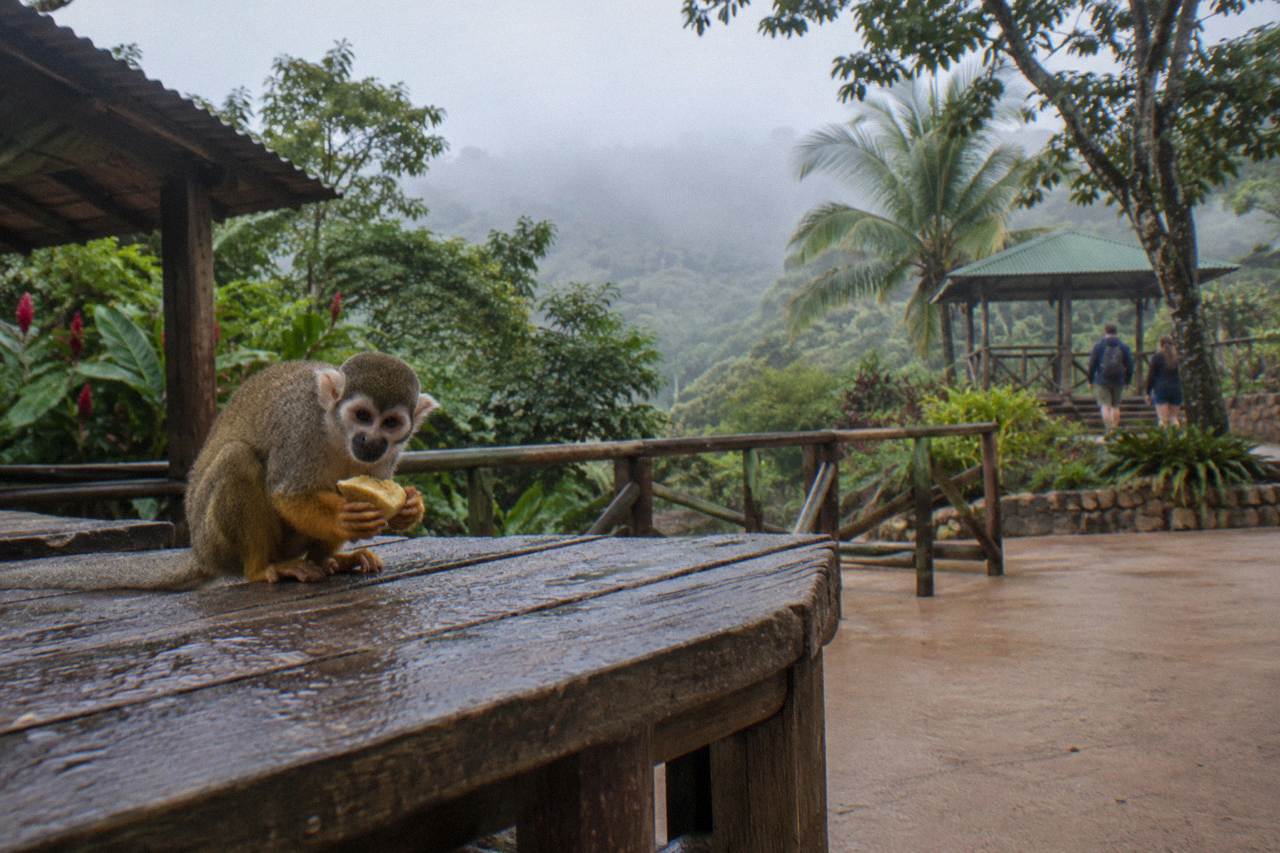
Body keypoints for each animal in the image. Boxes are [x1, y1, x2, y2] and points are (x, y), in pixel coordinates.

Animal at [0, 352, 437, 590]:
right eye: (362, 416)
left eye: (391, 424)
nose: (371, 441)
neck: (336, 433)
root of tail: (198, 551)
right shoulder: (301, 430)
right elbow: (288, 494)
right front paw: (349, 516)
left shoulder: (387, 456)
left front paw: (409, 508)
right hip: (216, 540)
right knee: (237, 460)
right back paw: (261, 569)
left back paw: (330, 561)